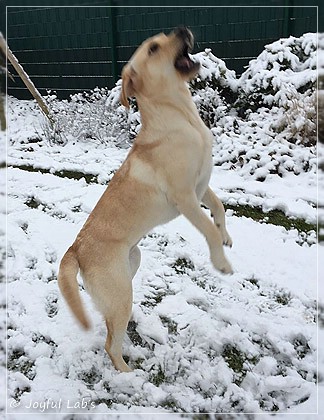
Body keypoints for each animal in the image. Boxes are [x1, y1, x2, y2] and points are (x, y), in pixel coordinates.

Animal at [58, 26, 233, 372]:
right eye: (153, 48)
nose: (182, 29)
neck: (183, 116)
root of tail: (75, 249)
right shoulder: (185, 198)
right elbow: (207, 228)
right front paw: (221, 262)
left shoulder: (201, 186)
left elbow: (219, 209)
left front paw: (226, 237)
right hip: (120, 289)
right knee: (110, 345)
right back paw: (128, 374)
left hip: (130, 266)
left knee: (110, 326)